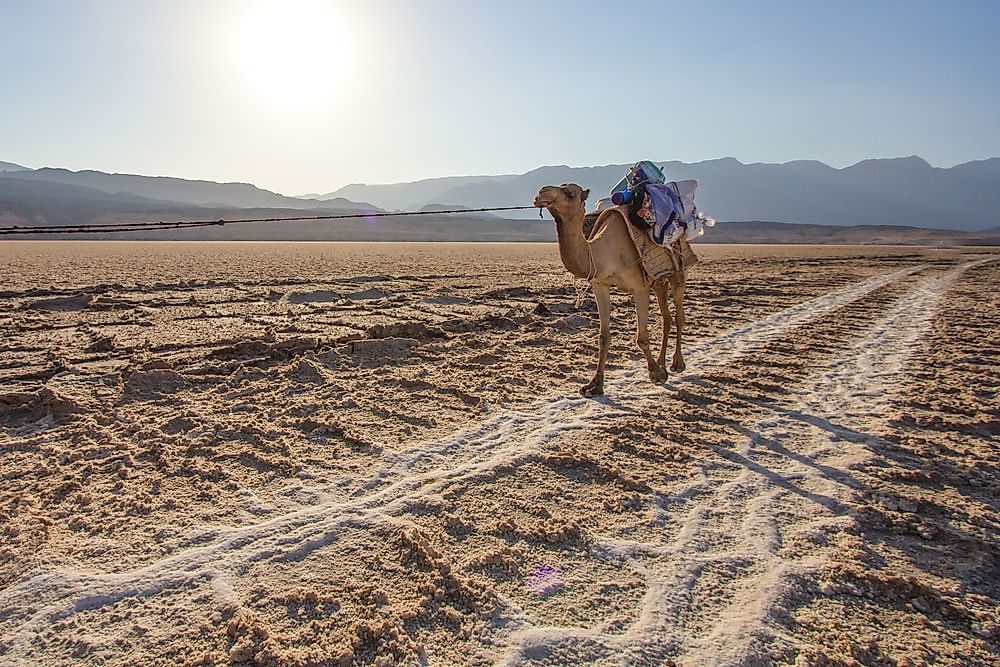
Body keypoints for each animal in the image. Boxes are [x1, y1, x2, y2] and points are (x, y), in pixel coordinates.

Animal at [532, 183, 688, 396]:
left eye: (569, 193)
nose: (541, 193)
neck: (603, 252)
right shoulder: (601, 285)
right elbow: (603, 337)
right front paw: (595, 385)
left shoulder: (639, 288)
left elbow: (642, 338)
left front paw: (656, 374)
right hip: (657, 280)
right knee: (667, 318)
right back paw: (663, 362)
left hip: (677, 270)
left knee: (679, 316)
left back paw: (677, 364)